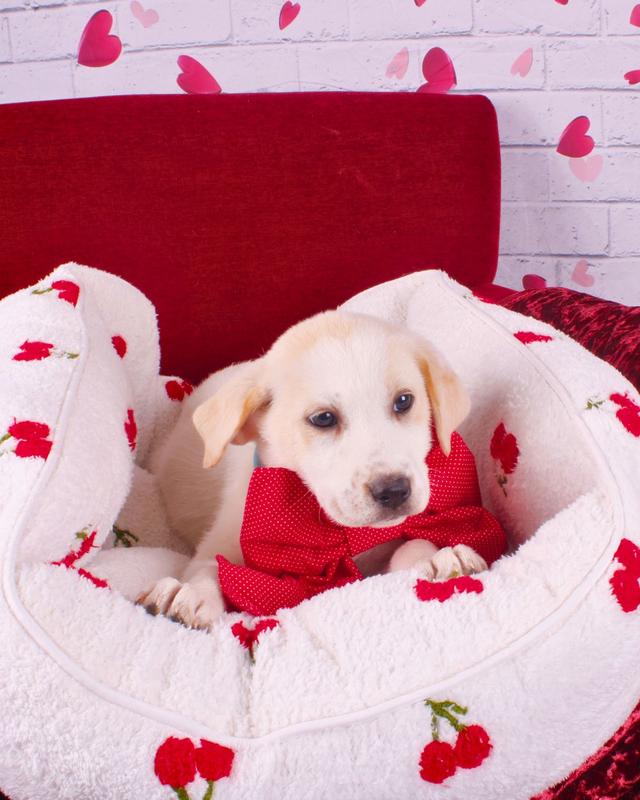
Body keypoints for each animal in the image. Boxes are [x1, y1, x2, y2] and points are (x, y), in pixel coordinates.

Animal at [137, 310, 487, 629]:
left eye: (404, 401)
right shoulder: (222, 545)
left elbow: (410, 543)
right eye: (323, 418)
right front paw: (189, 593)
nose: (394, 490)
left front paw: (435, 558)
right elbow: (210, 569)